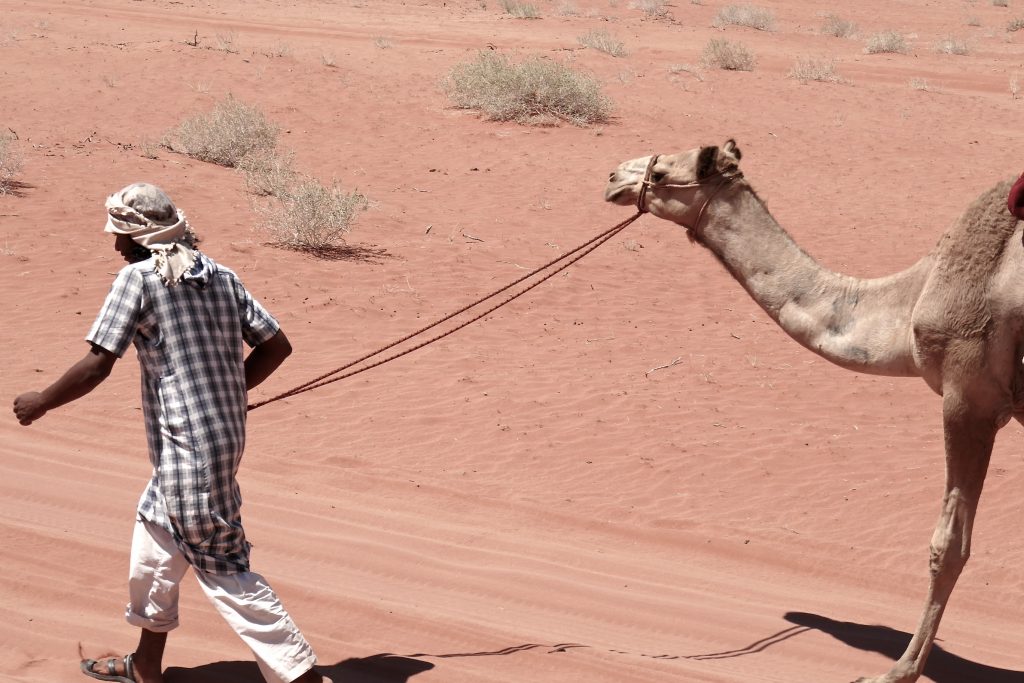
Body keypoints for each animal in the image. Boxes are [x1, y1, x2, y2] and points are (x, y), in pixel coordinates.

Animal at [602, 140, 1019, 683]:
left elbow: (948, 545)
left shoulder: (969, 397)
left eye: (664, 170)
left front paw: (897, 671)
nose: (613, 177)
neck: (911, 298)